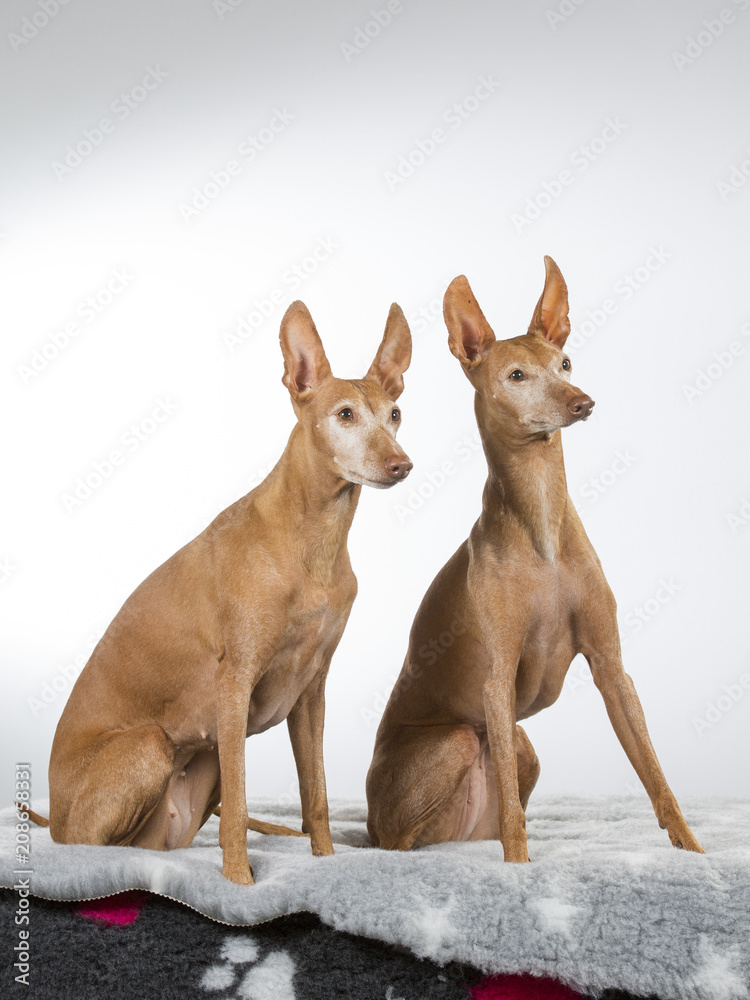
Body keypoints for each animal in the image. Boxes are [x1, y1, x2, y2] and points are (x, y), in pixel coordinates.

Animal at [50, 300, 414, 888]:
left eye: (395, 413)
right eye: (345, 415)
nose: (401, 464)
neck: (312, 541)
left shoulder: (311, 694)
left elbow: (316, 796)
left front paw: (325, 865)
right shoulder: (235, 685)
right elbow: (242, 809)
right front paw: (241, 881)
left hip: (201, 774)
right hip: (154, 745)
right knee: (88, 849)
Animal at [368, 258, 708, 860]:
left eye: (564, 362)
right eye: (516, 376)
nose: (582, 402)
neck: (542, 521)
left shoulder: (612, 667)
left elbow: (655, 774)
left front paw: (692, 852)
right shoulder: (497, 680)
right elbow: (512, 814)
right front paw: (519, 866)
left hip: (523, 742)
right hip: (459, 738)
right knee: (405, 841)